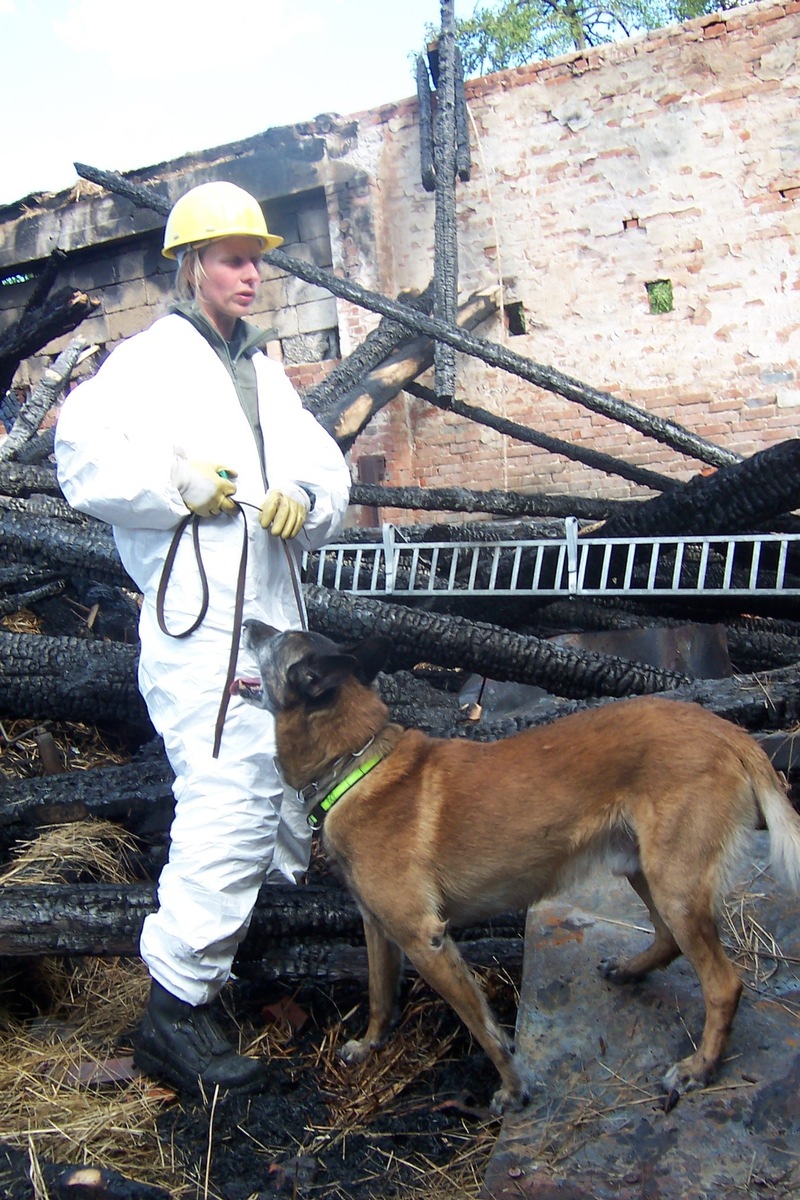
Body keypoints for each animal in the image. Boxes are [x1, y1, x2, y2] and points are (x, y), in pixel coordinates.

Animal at [231, 624, 800, 1108]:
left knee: (723, 985)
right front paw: (369, 1045)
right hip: (643, 867)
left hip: (675, 883)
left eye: (273, 638)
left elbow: (482, 1028)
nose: (248, 622)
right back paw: (630, 970)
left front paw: (513, 1087)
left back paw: (698, 1068)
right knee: (665, 939)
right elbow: (378, 995)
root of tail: (730, 732)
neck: (356, 763)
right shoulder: (377, 926)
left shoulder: (425, 939)